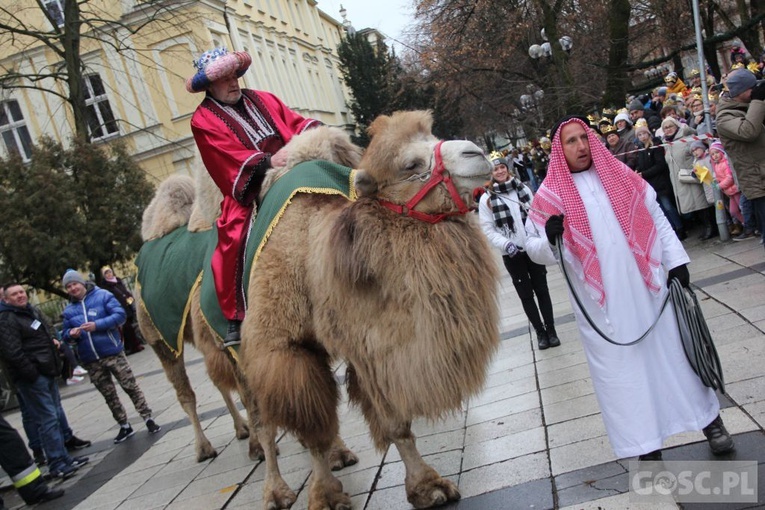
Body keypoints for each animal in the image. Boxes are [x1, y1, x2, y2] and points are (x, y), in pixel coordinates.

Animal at [135, 125, 364, 464]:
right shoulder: (234, 341)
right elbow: (254, 394)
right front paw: (264, 448)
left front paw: (336, 450)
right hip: (160, 343)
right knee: (187, 394)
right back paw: (205, 448)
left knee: (218, 385)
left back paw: (241, 430)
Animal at [240, 111, 502, 510]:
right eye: (410, 165)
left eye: (434, 137)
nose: (477, 153)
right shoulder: (287, 350)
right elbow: (309, 428)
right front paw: (325, 495)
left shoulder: (373, 346)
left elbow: (396, 423)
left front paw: (428, 487)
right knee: (265, 424)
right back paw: (276, 491)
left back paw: (338, 455)